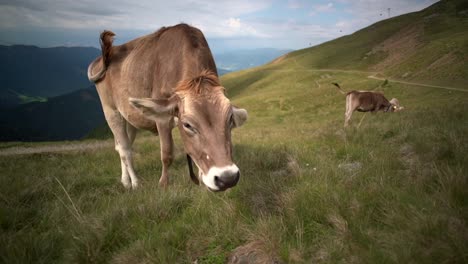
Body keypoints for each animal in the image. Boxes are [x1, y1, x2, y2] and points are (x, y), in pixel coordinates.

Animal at [88, 23, 249, 191]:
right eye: (187, 125)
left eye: (230, 119)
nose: (227, 178)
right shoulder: (162, 120)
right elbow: (167, 154)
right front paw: (163, 183)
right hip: (111, 110)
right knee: (125, 150)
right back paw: (134, 183)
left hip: (130, 117)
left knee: (121, 145)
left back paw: (124, 180)